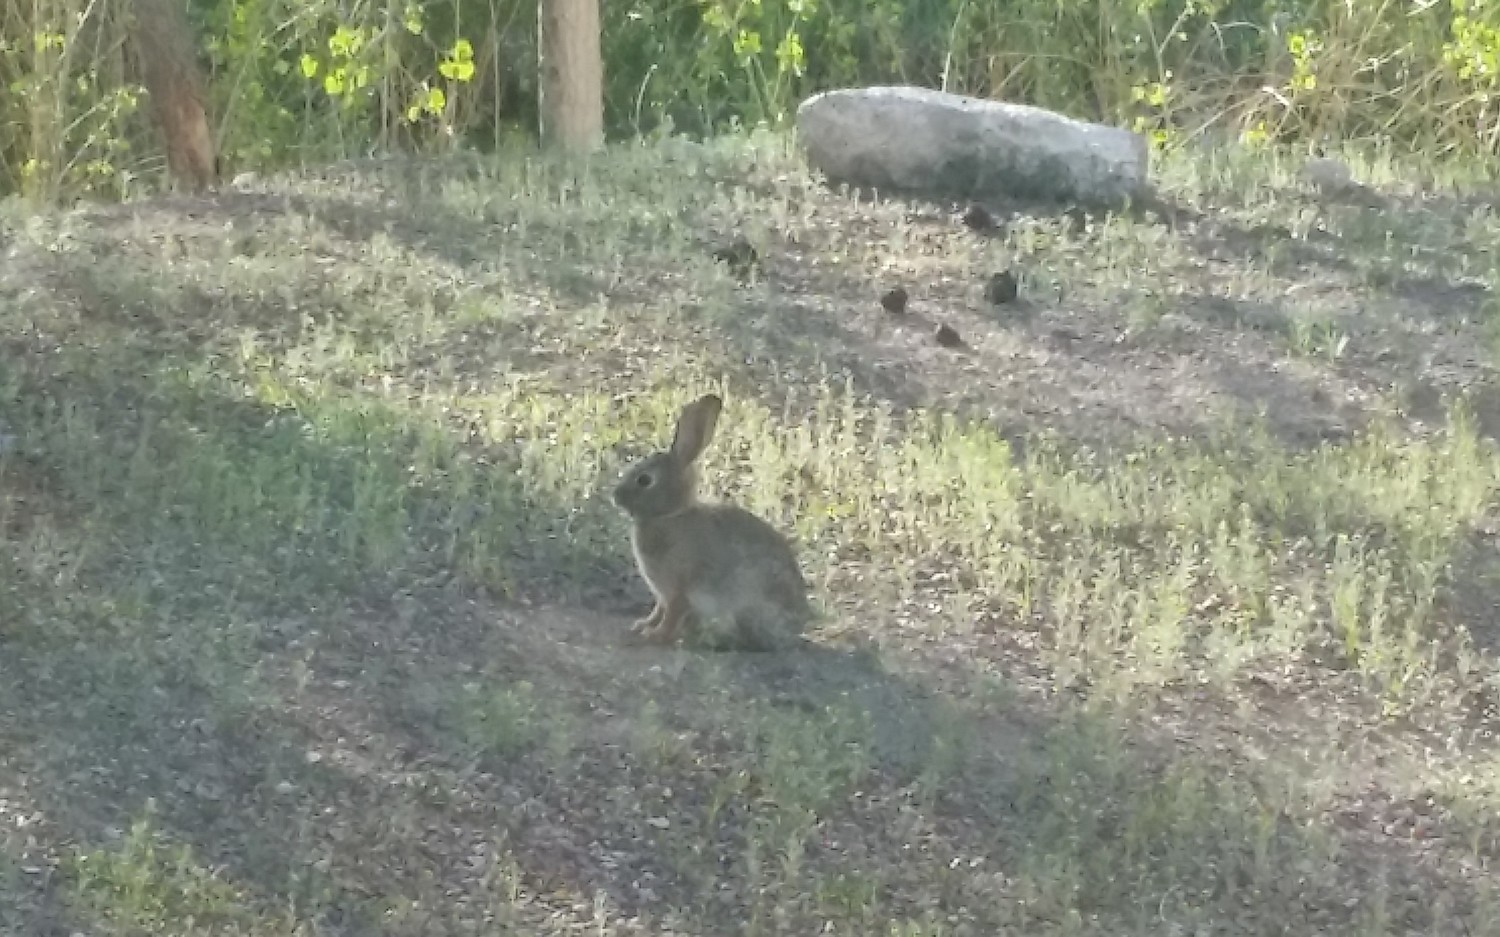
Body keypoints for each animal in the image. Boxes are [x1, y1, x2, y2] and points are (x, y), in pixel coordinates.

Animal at [612, 389, 816, 647]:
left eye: (644, 480)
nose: (615, 496)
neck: (670, 514)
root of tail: (796, 629)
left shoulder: (681, 588)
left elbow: (672, 614)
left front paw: (656, 635)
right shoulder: (663, 593)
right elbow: (658, 610)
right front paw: (642, 625)